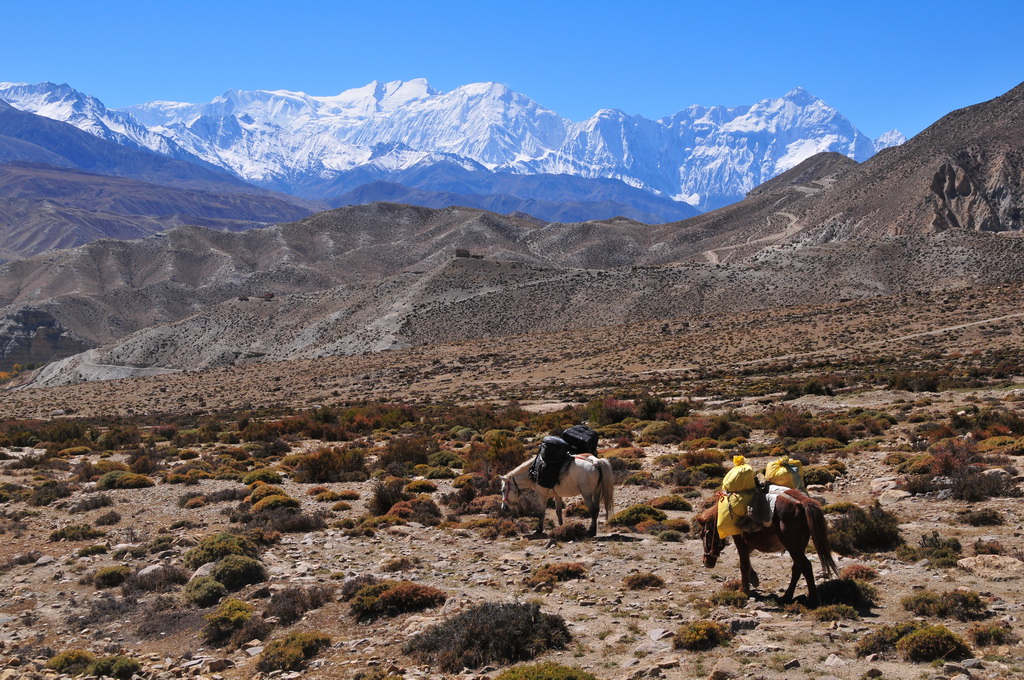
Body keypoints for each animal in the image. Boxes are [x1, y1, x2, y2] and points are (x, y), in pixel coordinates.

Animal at [696, 489, 839, 606]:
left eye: (703, 534)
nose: (706, 561)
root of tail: (801, 502)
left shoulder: (741, 542)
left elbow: (744, 565)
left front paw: (743, 591)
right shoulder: (750, 544)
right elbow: (747, 563)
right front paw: (754, 579)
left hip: (792, 546)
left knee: (806, 566)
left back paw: (813, 600)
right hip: (799, 546)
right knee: (797, 568)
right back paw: (786, 597)